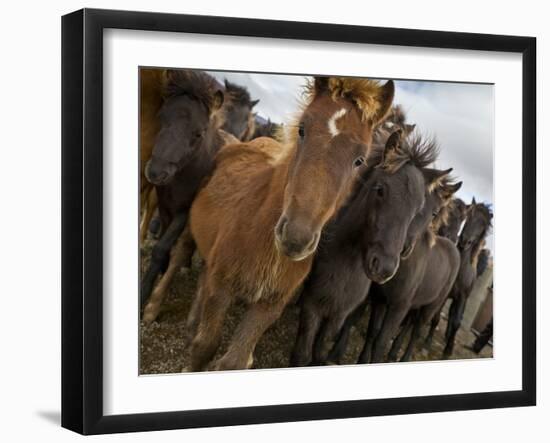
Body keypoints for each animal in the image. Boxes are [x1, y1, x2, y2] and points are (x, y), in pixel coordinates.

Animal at [190, 76, 396, 372]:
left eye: (359, 160)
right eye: (301, 130)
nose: (296, 238)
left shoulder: (271, 304)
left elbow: (235, 360)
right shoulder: (221, 286)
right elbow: (204, 346)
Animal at [294, 130, 452, 366]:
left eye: (418, 210)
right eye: (380, 190)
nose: (384, 268)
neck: (343, 266)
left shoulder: (344, 314)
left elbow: (323, 351)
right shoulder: (312, 304)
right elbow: (303, 354)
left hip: (429, 308)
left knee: (415, 331)